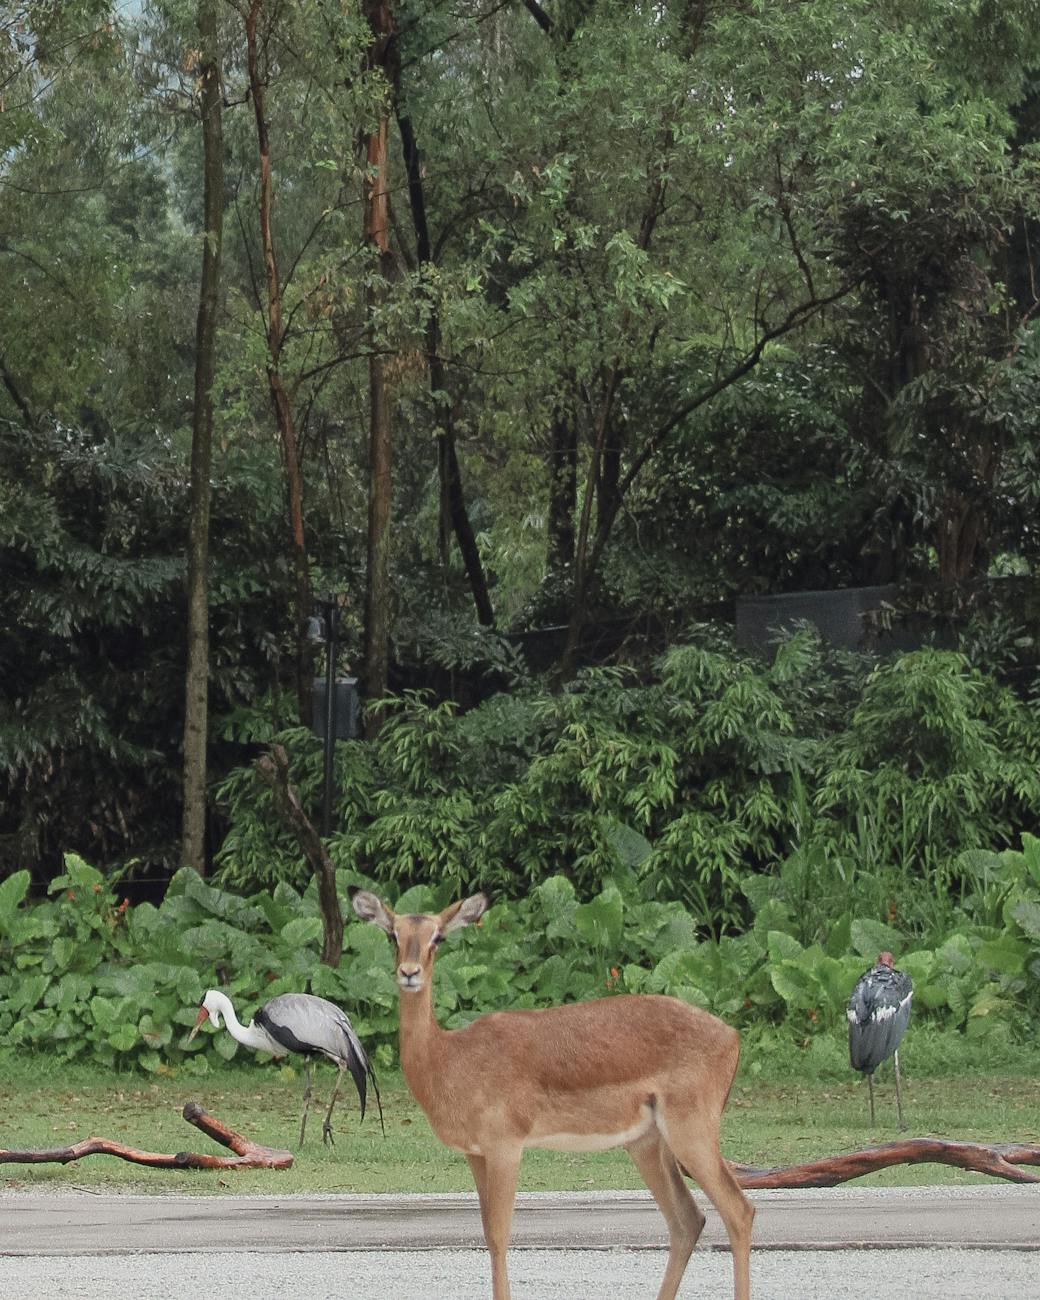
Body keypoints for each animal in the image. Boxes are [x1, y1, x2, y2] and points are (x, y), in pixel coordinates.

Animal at [349, 887, 753, 1300]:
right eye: (393, 934)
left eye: (438, 937)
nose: (409, 973)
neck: (450, 1058)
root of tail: (732, 1035)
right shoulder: (475, 1154)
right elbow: (486, 1233)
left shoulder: (506, 1148)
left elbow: (499, 1235)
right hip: (647, 1143)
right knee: (688, 1219)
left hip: (691, 1134)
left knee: (738, 1210)